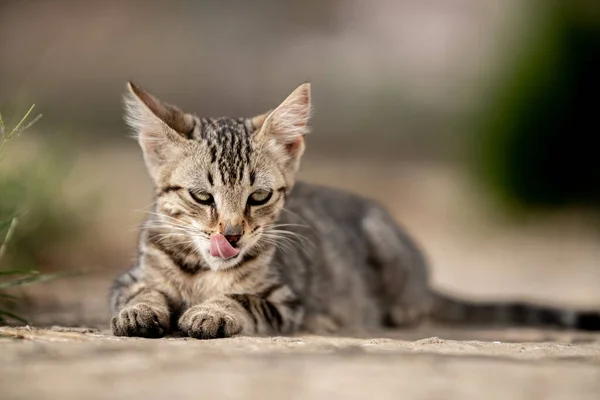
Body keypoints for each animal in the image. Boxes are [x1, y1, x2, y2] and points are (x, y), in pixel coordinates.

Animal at [110, 83, 596, 340]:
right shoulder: (128, 277)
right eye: (202, 197)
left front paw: (212, 310)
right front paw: (141, 310)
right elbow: (141, 291)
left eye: (259, 197)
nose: (231, 235)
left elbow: (242, 298)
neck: (204, 271)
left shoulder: (286, 299)